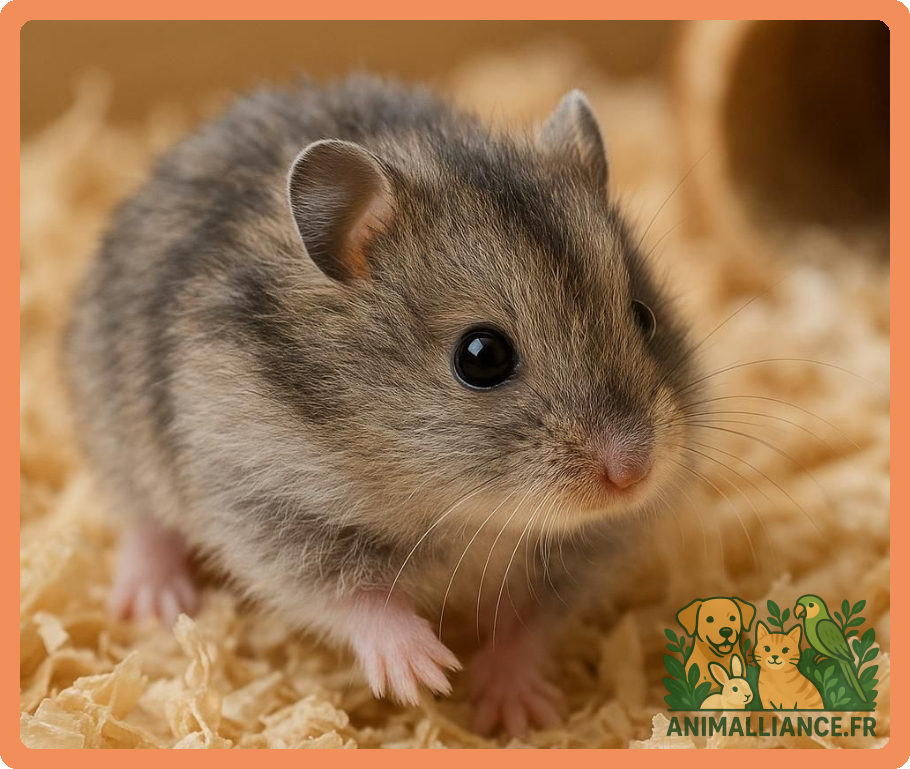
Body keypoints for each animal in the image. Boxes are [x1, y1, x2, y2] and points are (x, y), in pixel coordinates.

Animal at [65, 76, 697, 736]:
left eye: (643, 317)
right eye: (481, 356)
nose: (633, 473)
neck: (475, 514)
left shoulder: (583, 552)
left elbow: (529, 623)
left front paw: (516, 712)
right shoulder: (266, 504)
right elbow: (350, 596)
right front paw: (426, 672)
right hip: (116, 431)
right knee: (143, 520)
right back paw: (153, 602)